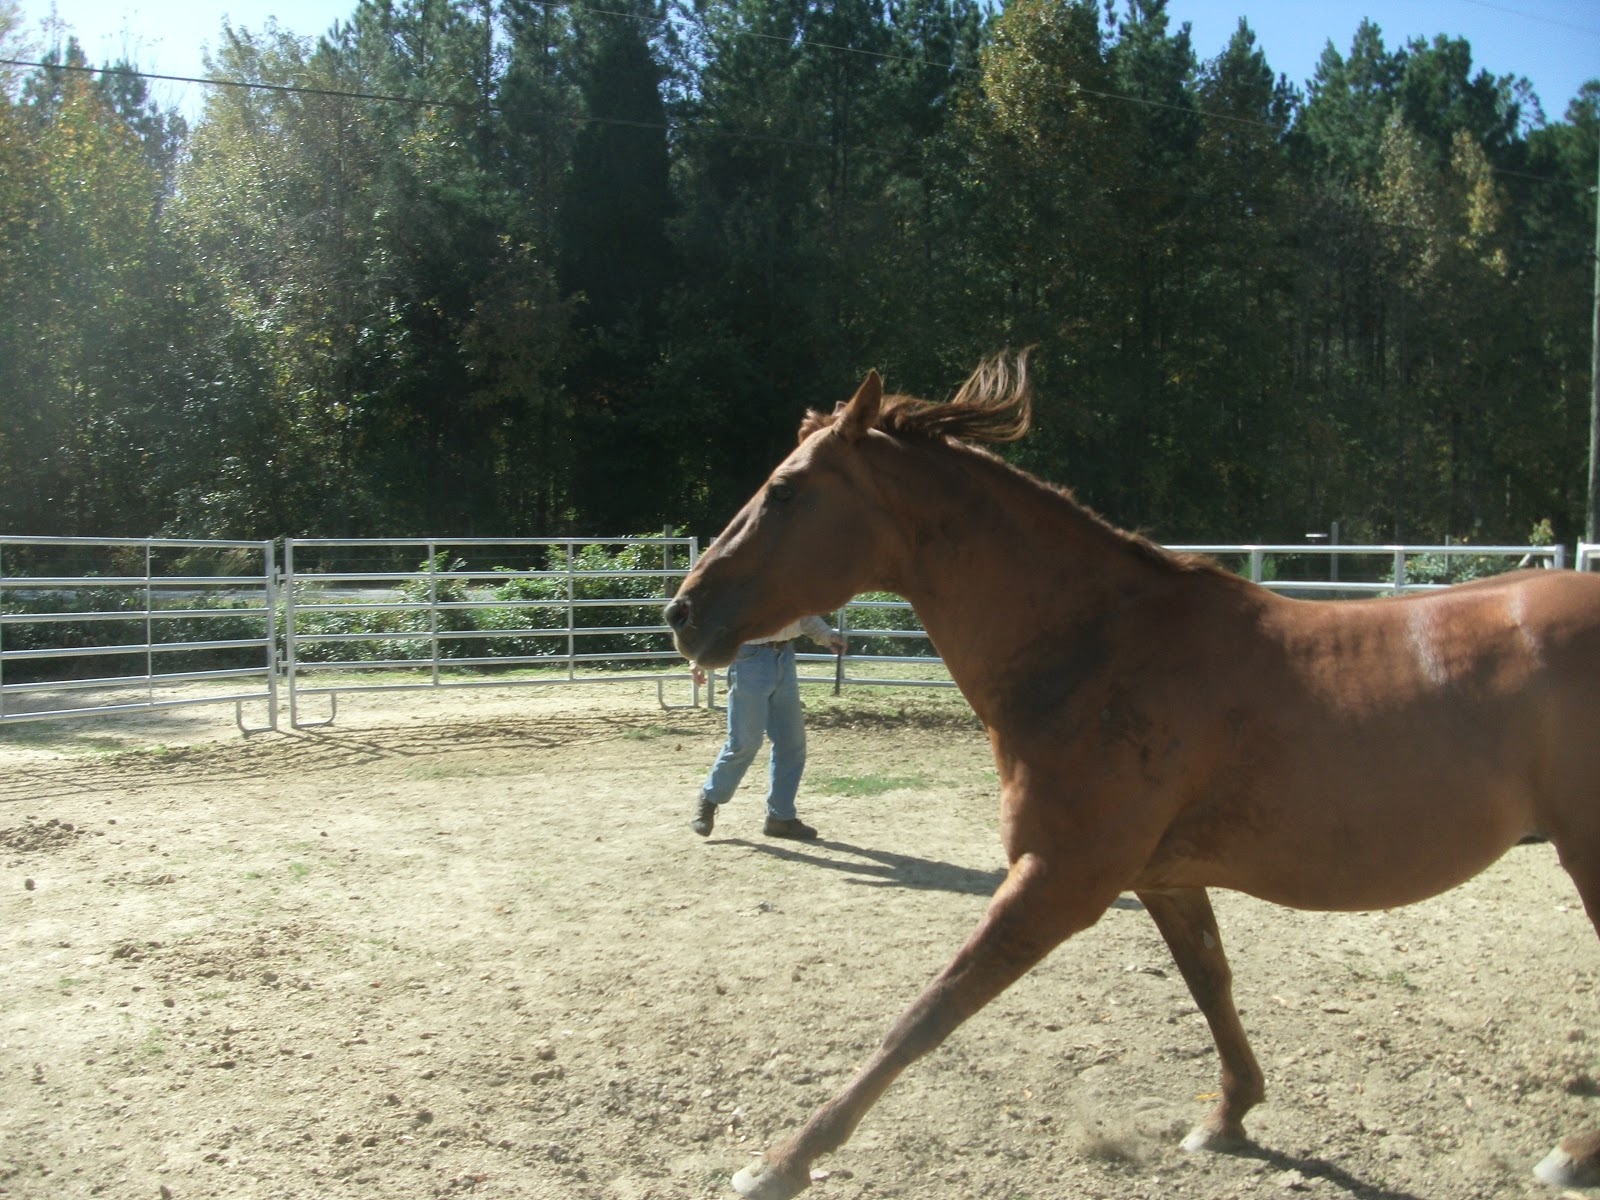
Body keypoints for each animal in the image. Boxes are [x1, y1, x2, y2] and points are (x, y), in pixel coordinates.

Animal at [663, 354, 1600, 1199]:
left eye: (786, 491)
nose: (683, 611)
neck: (1098, 650)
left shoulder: (1060, 880)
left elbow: (929, 1011)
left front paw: (781, 1162)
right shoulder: (1161, 879)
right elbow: (1210, 983)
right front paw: (1227, 1119)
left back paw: (1572, 1153)